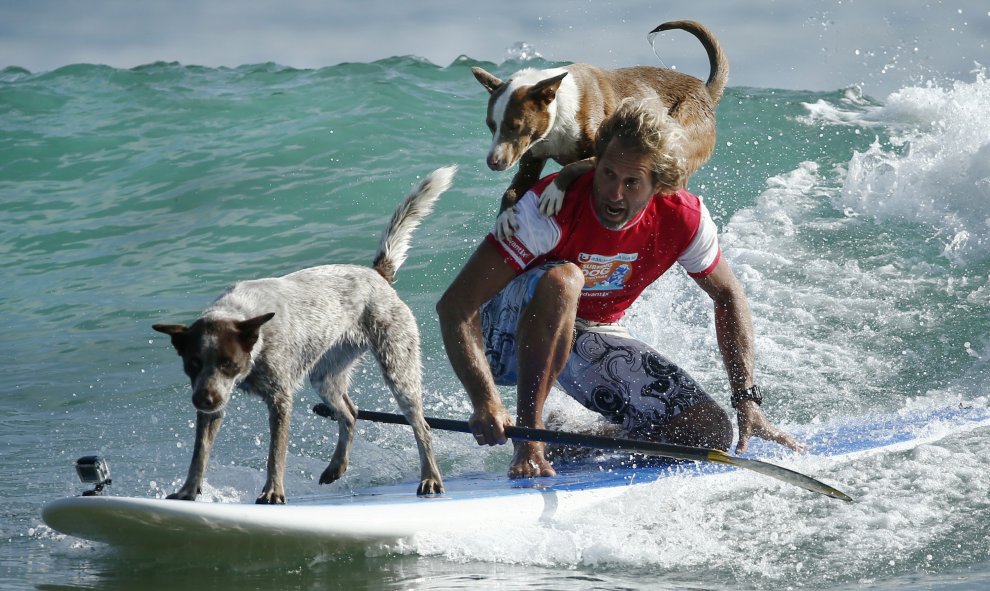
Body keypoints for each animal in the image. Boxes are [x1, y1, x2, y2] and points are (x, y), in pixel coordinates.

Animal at [153, 165, 456, 504]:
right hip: (325, 375)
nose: (202, 400)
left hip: (398, 367)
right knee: (350, 413)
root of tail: (377, 274)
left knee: (421, 426)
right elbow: (200, 452)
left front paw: (272, 491)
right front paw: (188, 490)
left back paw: (430, 477)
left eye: (228, 363)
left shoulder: (279, 399)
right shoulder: (216, 401)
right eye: (192, 363)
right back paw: (336, 467)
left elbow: (275, 453)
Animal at [472, 21, 728, 238]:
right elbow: (512, 190)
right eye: (490, 125)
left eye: (515, 126)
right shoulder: (531, 161)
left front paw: (554, 191)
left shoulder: (602, 155)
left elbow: (573, 166)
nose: (492, 162)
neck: (558, 115)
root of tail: (705, 91)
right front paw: (504, 216)